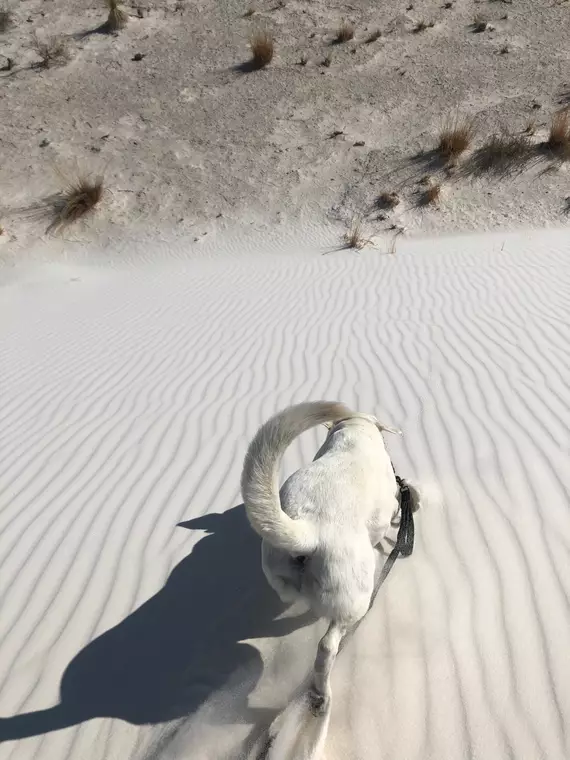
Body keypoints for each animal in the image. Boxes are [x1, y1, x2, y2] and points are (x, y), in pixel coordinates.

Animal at [240, 400, 418, 716]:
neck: (354, 430)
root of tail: (308, 530)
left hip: (278, 571)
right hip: (353, 598)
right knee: (327, 646)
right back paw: (322, 692)